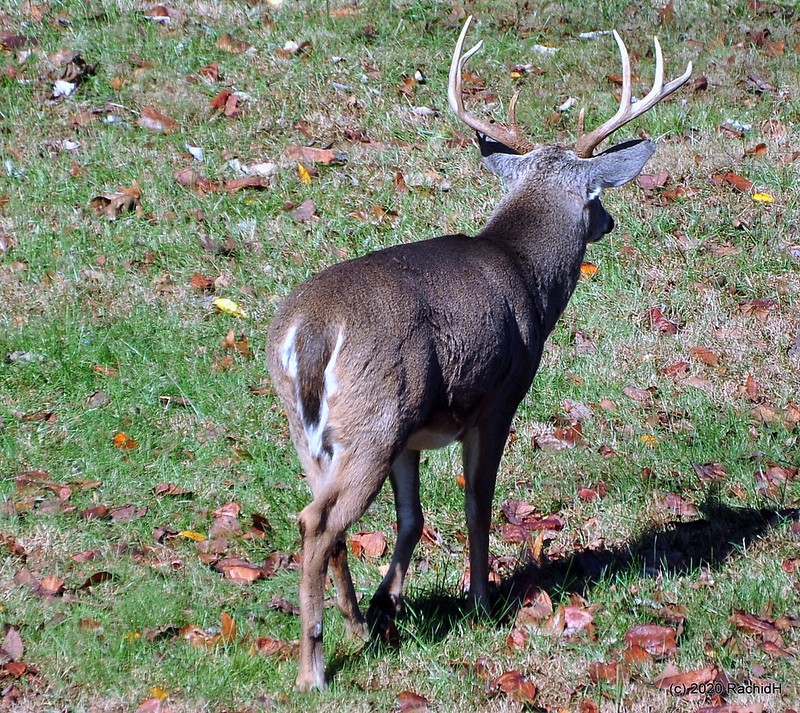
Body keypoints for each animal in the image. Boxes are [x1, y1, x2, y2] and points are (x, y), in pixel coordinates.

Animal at [267, 16, 692, 691]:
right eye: (595, 196)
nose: (610, 223)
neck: (527, 274)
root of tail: (309, 332)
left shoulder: (415, 432)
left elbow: (412, 517)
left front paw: (389, 604)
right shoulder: (498, 399)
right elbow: (477, 503)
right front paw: (483, 604)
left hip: (318, 429)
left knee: (322, 522)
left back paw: (357, 624)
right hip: (372, 421)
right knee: (318, 525)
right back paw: (314, 668)